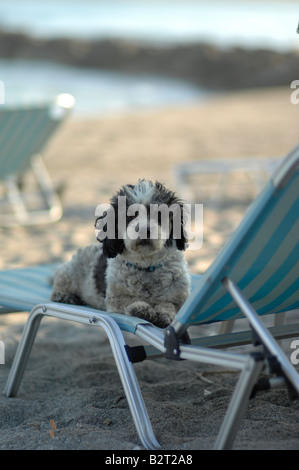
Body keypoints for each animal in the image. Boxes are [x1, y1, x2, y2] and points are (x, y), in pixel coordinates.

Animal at [50, 180, 191, 326]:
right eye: (129, 216)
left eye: (158, 214)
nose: (143, 230)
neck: (146, 267)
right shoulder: (115, 299)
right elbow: (128, 302)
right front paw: (141, 309)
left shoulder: (179, 298)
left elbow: (169, 305)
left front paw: (163, 313)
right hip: (69, 274)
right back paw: (64, 296)